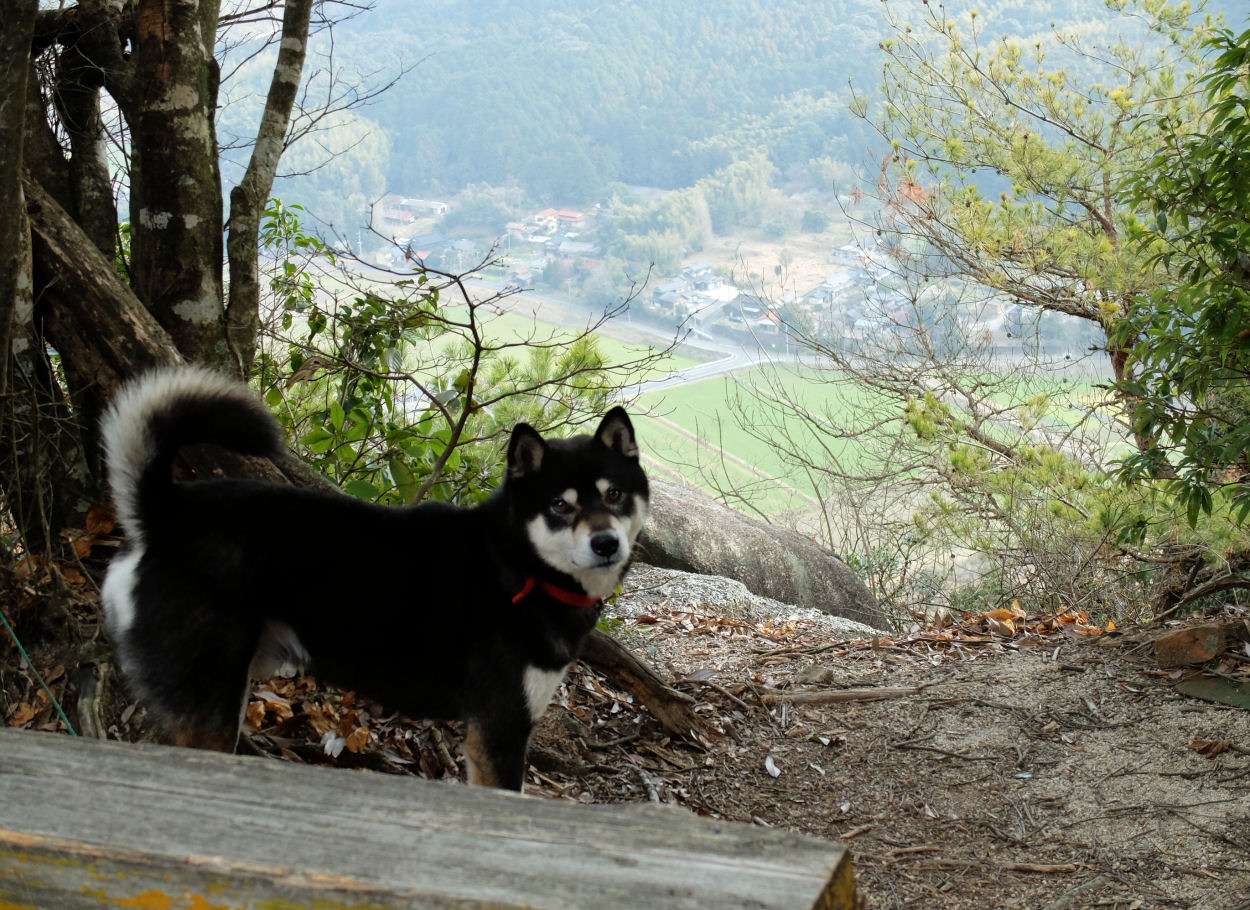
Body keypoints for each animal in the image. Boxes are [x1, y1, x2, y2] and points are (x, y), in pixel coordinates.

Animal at [99, 366, 648, 790]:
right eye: (560, 505)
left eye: (615, 495)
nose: (606, 544)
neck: (517, 563)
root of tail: (165, 512)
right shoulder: (500, 729)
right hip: (209, 696)